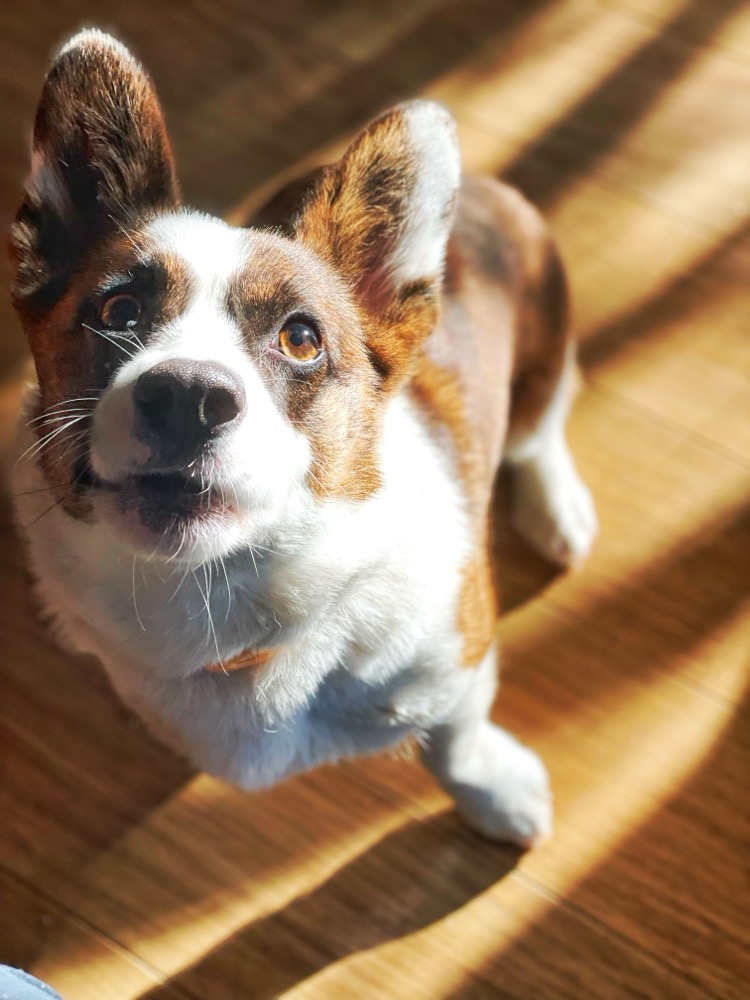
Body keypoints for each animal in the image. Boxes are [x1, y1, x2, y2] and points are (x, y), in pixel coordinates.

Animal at [10, 29, 600, 844]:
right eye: (119, 310)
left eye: (300, 339)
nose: (188, 398)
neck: (225, 593)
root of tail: (486, 185)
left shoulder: (457, 657)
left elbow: (457, 739)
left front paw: (498, 793)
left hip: (545, 338)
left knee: (539, 431)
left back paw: (558, 511)